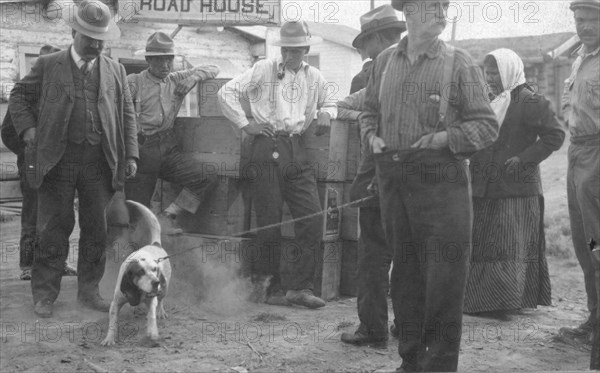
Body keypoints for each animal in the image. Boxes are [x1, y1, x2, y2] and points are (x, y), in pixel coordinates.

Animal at [101, 202, 171, 344]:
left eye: (155, 269)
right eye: (140, 271)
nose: (156, 282)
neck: (139, 291)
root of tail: (155, 244)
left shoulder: (152, 301)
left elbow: (152, 316)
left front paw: (153, 333)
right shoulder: (115, 303)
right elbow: (112, 322)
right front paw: (109, 338)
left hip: (165, 287)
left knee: (161, 301)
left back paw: (160, 312)